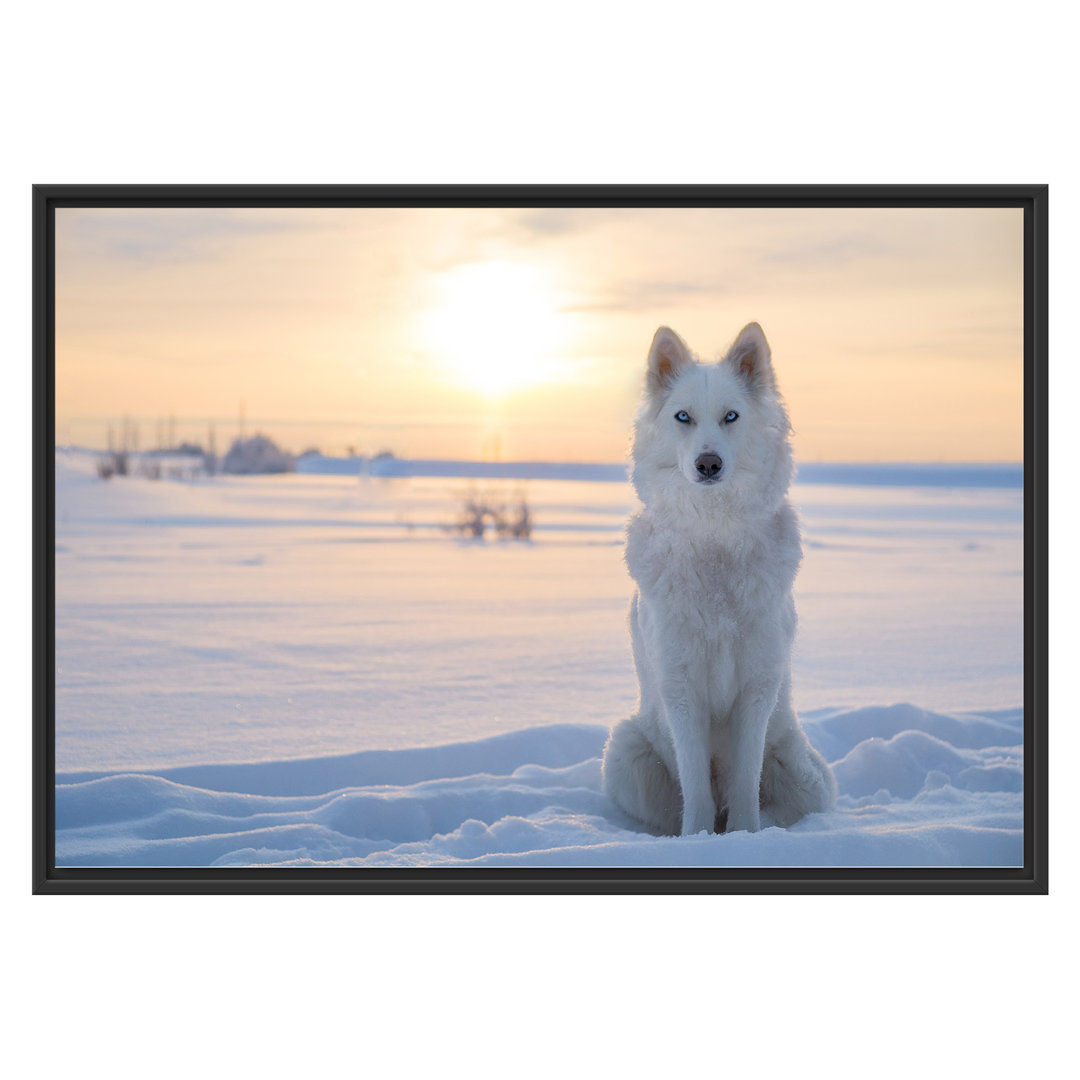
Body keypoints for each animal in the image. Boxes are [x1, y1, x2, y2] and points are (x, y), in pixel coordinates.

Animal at [604, 319, 838, 833]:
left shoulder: (757, 687)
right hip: (625, 754)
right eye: (683, 417)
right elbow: (695, 788)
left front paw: (745, 836)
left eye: (731, 416)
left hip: (804, 774)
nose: (708, 464)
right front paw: (697, 838)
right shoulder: (681, 688)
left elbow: (746, 780)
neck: (715, 538)